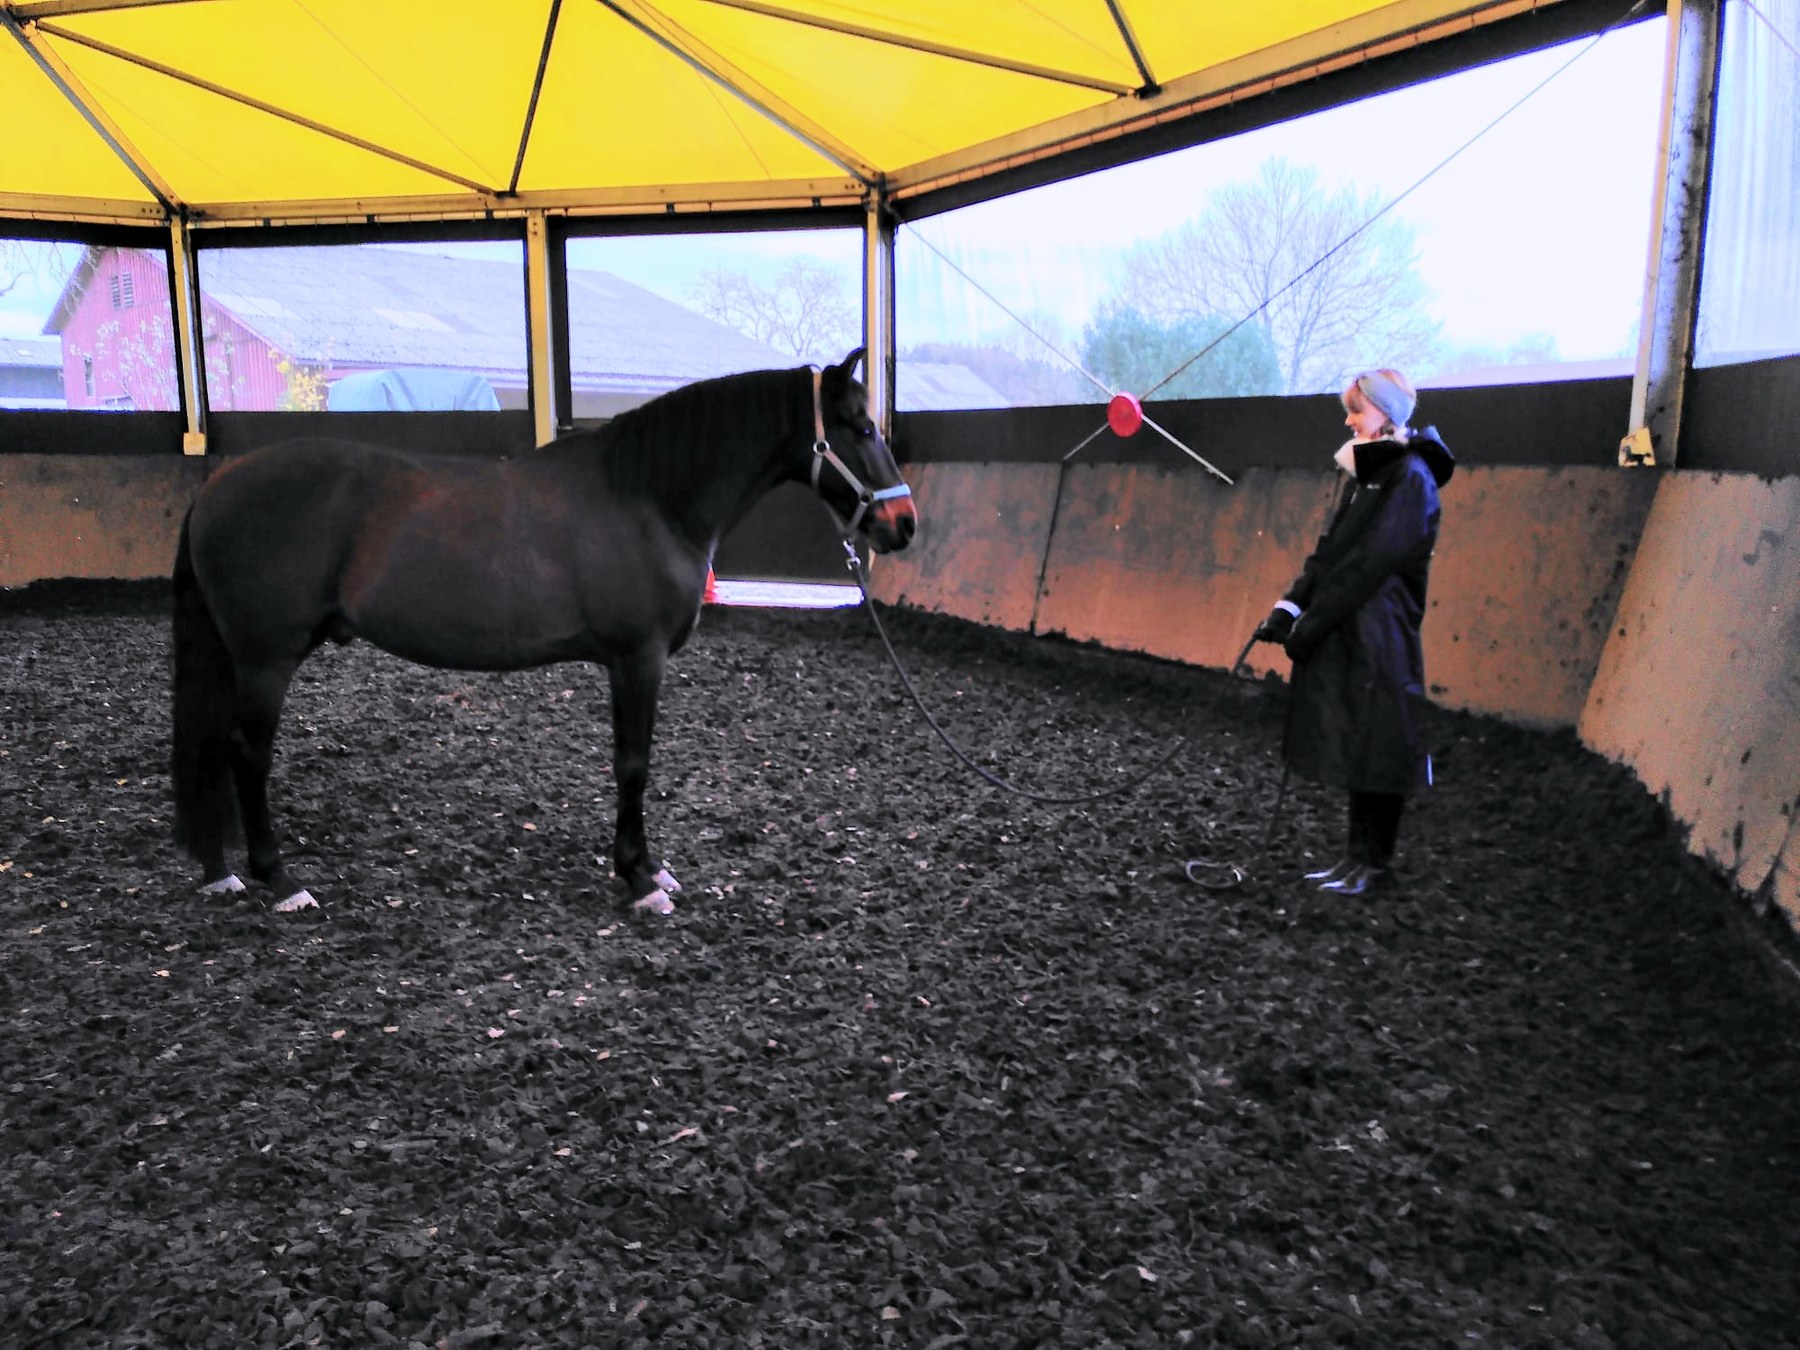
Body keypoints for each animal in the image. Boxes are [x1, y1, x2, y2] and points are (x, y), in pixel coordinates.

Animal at [170, 348, 916, 916]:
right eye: (858, 426)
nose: (903, 524)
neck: (648, 498)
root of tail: (216, 486)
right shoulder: (636, 659)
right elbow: (633, 765)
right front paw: (639, 879)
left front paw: (649, 869)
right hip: (265, 660)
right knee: (247, 754)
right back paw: (279, 879)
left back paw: (219, 868)